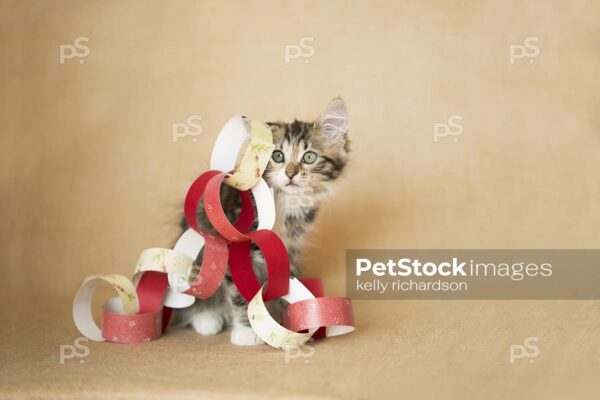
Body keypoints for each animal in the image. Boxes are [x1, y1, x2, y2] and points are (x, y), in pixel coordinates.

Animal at [171, 98, 350, 346]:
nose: (291, 174)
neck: (286, 204)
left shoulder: (289, 251)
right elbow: (240, 293)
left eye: (309, 157)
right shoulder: (236, 250)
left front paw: (292, 321)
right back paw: (207, 318)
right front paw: (247, 330)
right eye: (278, 156)